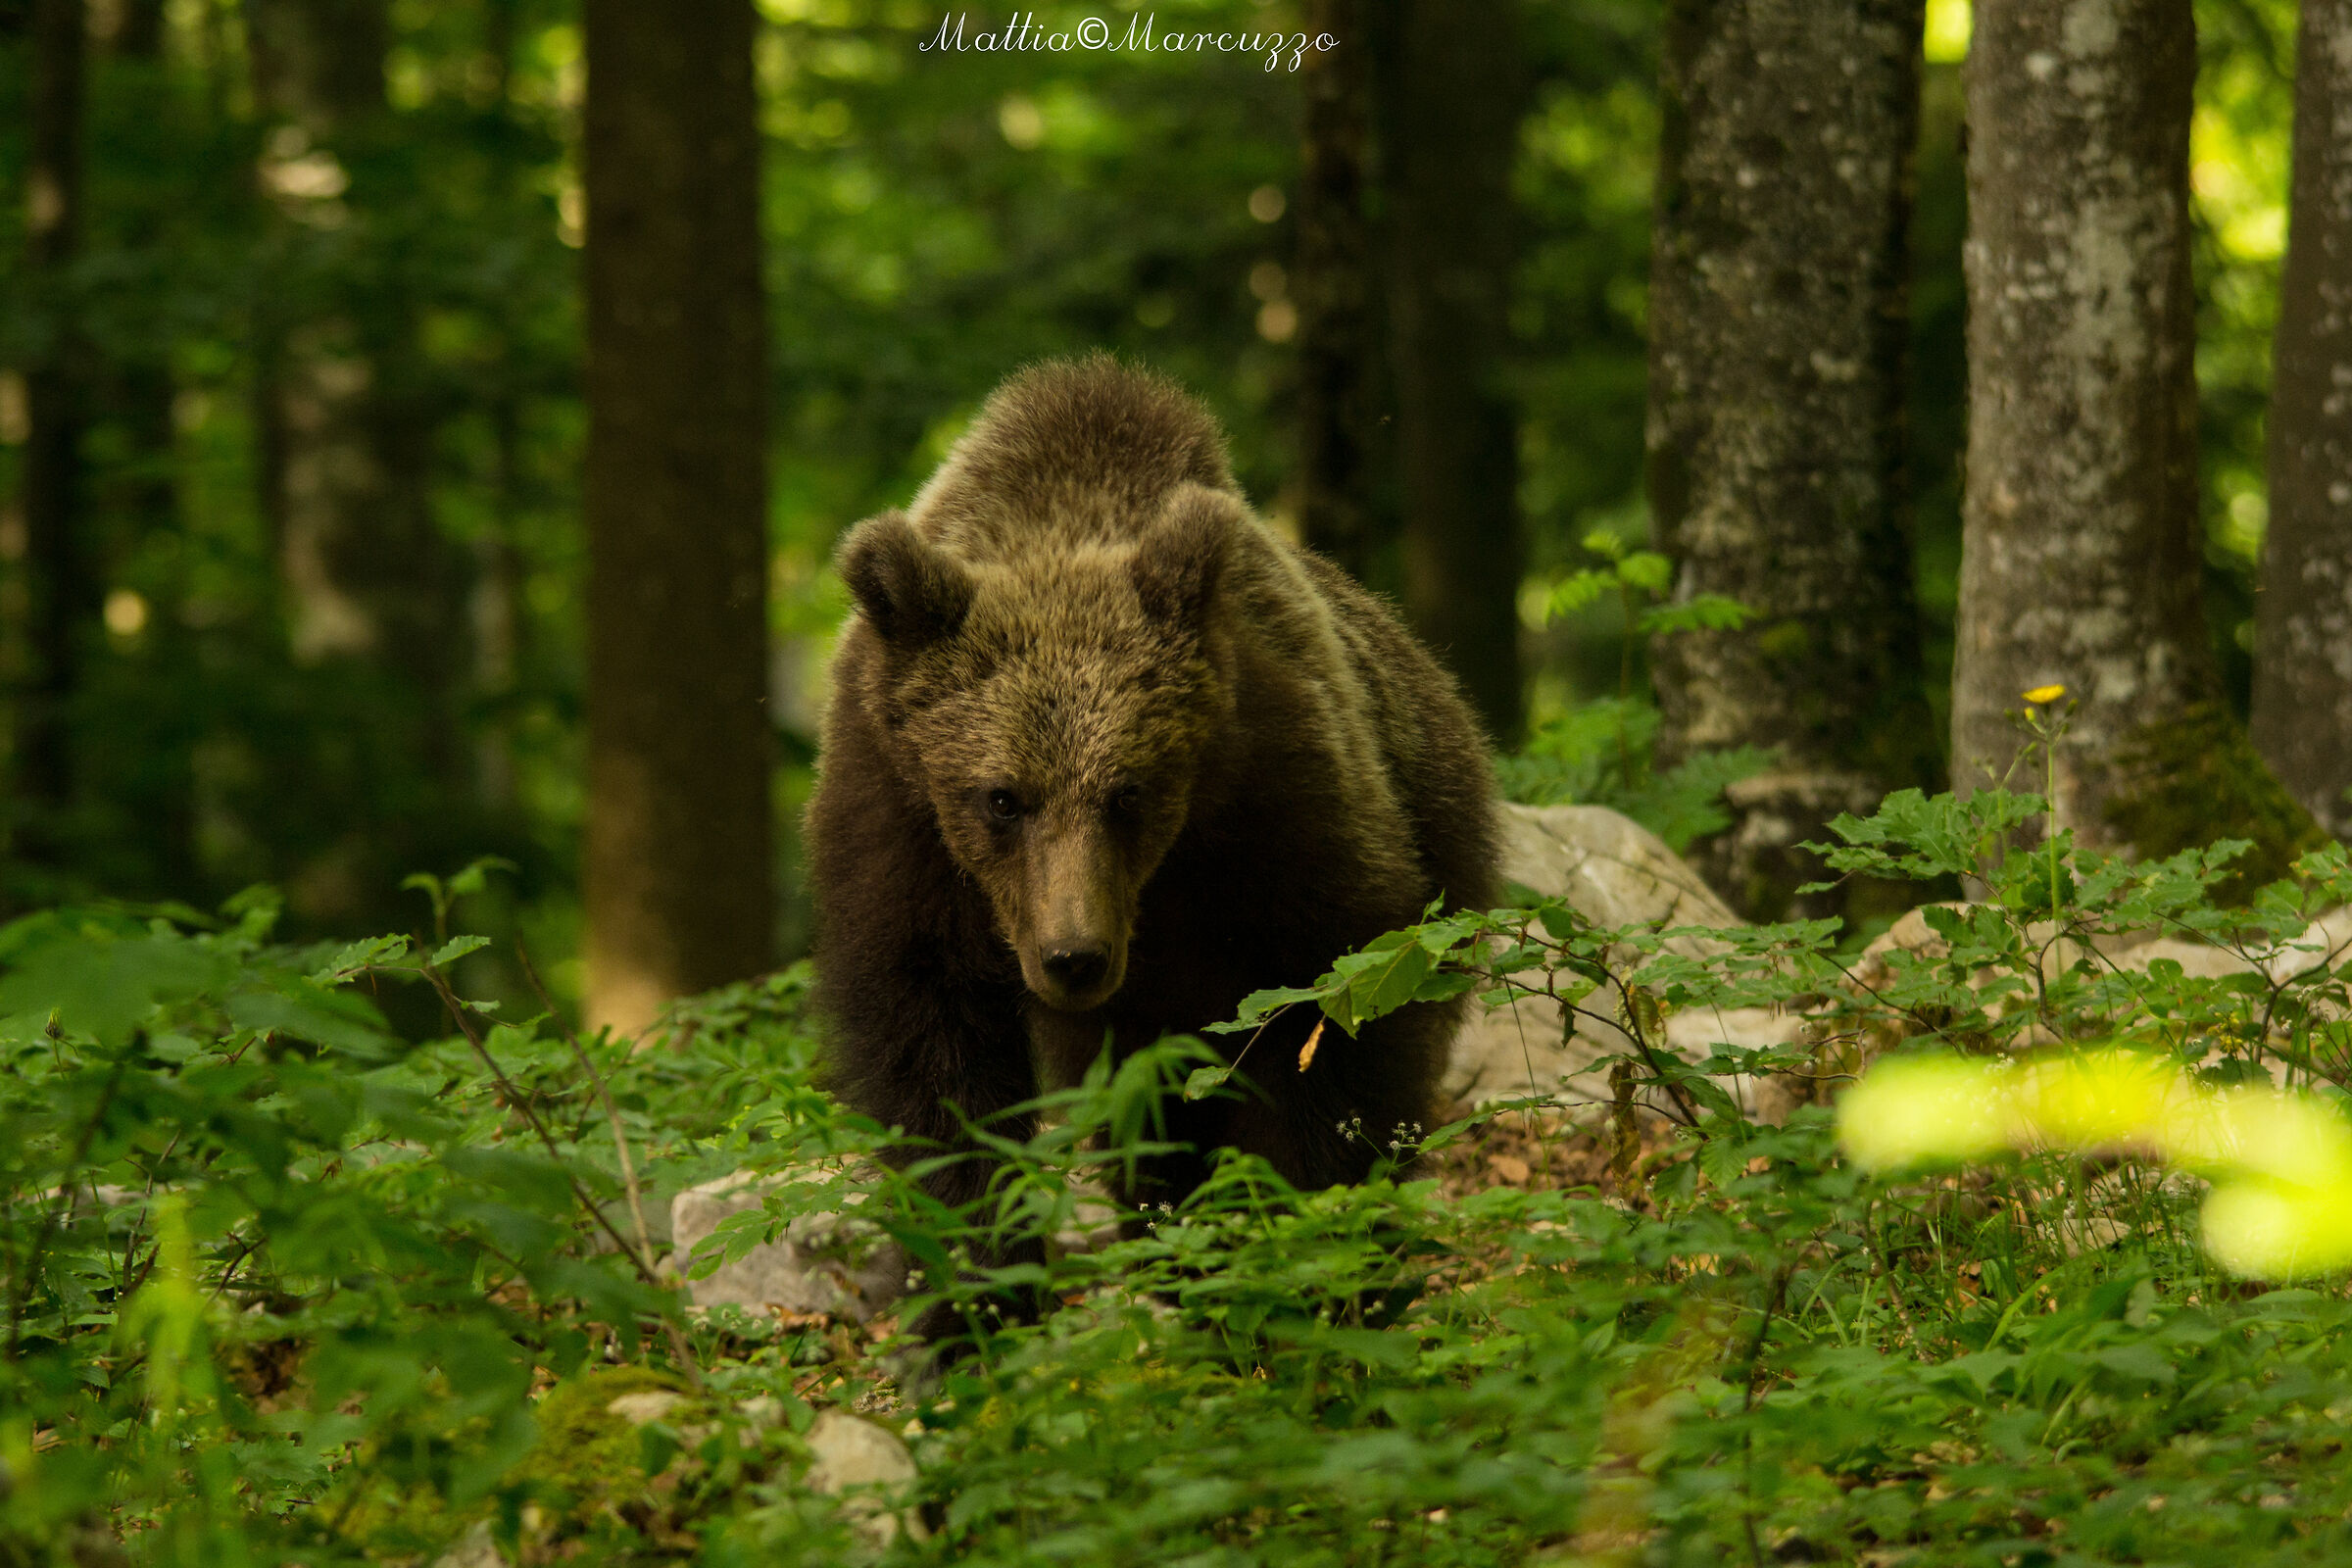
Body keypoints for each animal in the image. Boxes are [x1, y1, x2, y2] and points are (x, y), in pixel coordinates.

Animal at [807, 355, 1498, 1274]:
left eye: (1128, 790)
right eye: (1001, 798)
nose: (1074, 957)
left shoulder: (1277, 803)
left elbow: (1333, 1026)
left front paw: (1306, 1246)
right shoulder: (896, 818)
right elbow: (937, 1072)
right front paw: (977, 1276)